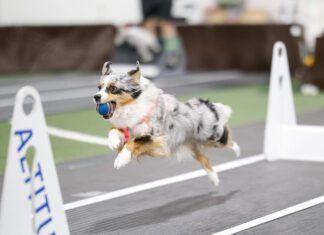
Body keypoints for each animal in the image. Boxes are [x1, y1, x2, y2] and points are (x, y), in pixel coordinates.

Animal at [93, 61, 240, 186]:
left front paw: (121, 160)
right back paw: (214, 178)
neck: (130, 106)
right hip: (191, 143)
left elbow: (134, 142)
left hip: (211, 136)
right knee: (203, 157)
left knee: (227, 137)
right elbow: (114, 130)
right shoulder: (128, 127)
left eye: (113, 88)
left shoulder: (154, 136)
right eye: (99, 87)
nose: (96, 97)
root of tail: (206, 103)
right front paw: (113, 142)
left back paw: (237, 152)